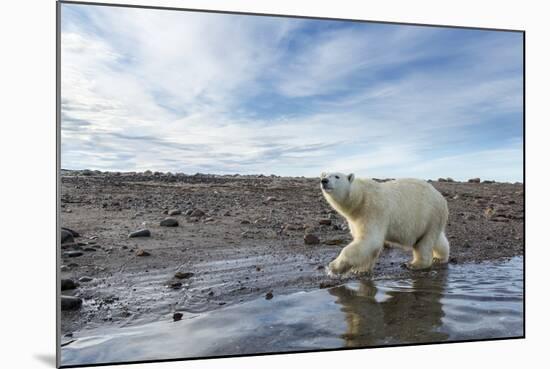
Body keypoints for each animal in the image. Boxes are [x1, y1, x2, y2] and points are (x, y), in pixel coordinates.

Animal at [322, 172, 450, 274]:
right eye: (325, 175)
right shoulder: (355, 219)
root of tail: (441, 198)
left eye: (337, 176)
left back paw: (414, 264)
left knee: (424, 243)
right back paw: (440, 258)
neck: (360, 198)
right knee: (437, 239)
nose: (324, 181)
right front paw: (361, 269)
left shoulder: (372, 210)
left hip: (429, 214)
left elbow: (369, 240)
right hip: (431, 221)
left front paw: (333, 267)